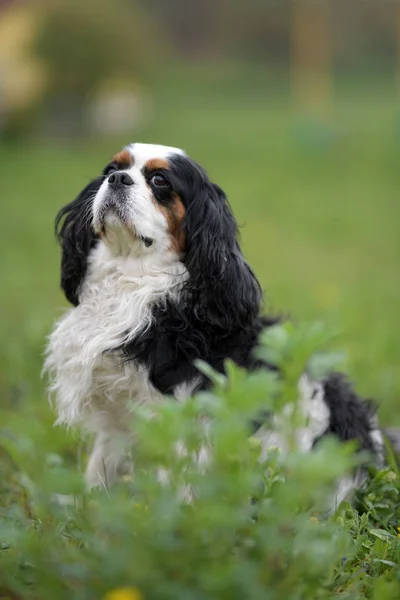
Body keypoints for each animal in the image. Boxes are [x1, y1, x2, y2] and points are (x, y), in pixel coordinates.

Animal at [45, 143, 390, 508]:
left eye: (159, 180)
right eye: (111, 169)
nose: (118, 179)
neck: (132, 280)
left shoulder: (177, 423)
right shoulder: (115, 427)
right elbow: (98, 472)